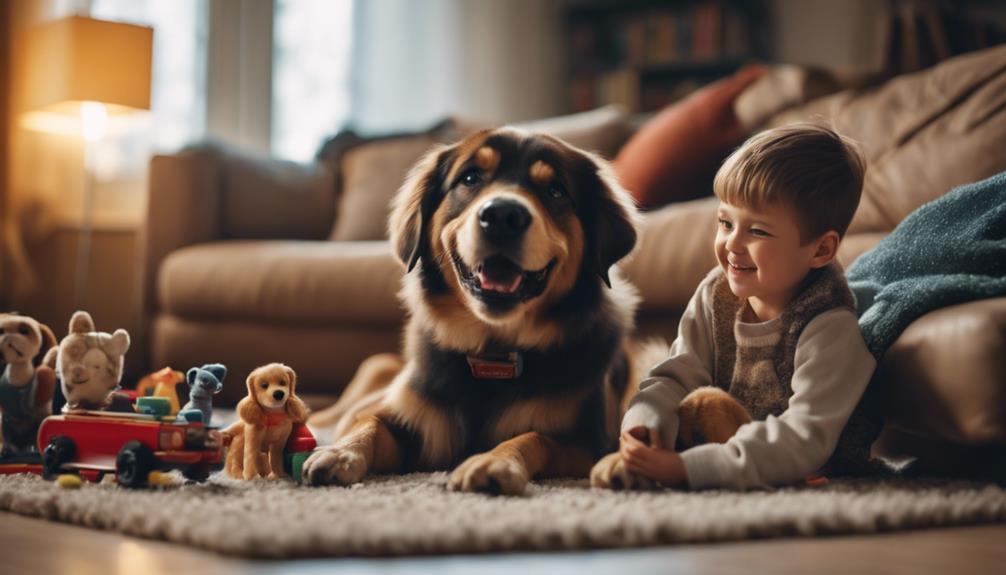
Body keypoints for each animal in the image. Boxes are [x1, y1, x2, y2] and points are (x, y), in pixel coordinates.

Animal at [301, 126, 647, 494]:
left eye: (555, 190)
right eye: (470, 177)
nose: (503, 216)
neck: (492, 353)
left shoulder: (589, 442)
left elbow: (534, 437)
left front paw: (495, 461)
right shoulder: (408, 415)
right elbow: (370, 424)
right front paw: (340, 454)